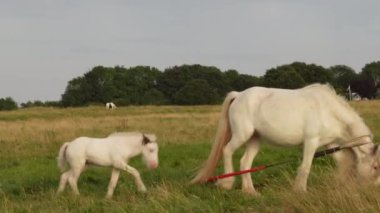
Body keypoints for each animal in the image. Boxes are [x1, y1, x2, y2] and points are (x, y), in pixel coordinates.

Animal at [193, 83, 380, 195]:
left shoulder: (330, 143)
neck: (329, 110)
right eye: (375, 166)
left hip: (255, 139)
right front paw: (301, 191)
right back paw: (227, 183)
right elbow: (305, 167)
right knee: (227, 151)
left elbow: (343, 162)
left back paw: (250, 191)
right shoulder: (311, 142)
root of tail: (239, 95)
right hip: (242, 134)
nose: (374, 189)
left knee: (245, 162)